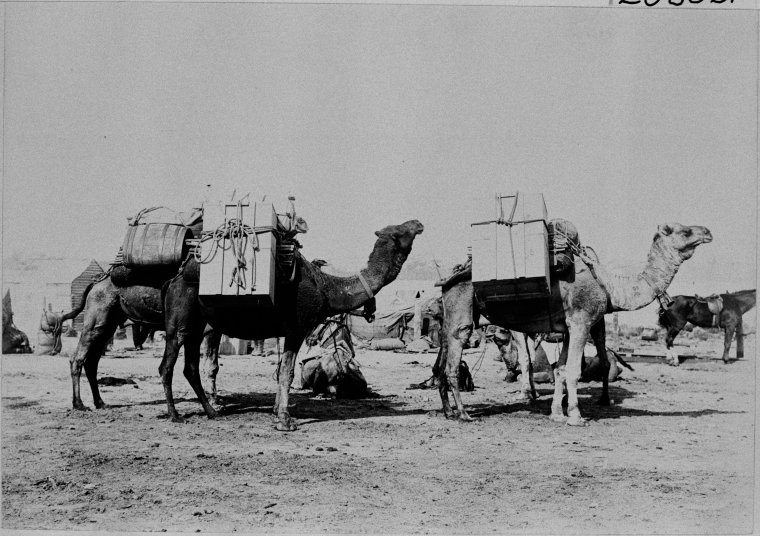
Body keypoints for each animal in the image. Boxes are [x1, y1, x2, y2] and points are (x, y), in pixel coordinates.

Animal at [436, 220, 708, 426]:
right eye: (685, 231)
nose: (707, 231)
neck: (609, 286)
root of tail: (449, 278)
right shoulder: (581, 322)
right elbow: (574, 371)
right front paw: (576, 416)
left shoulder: (569, 327)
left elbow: (561, 369)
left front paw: (557, 414)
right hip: (461, 307)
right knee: (454, 359)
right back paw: (464, 414)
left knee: (443, 359)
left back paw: (450, 412)